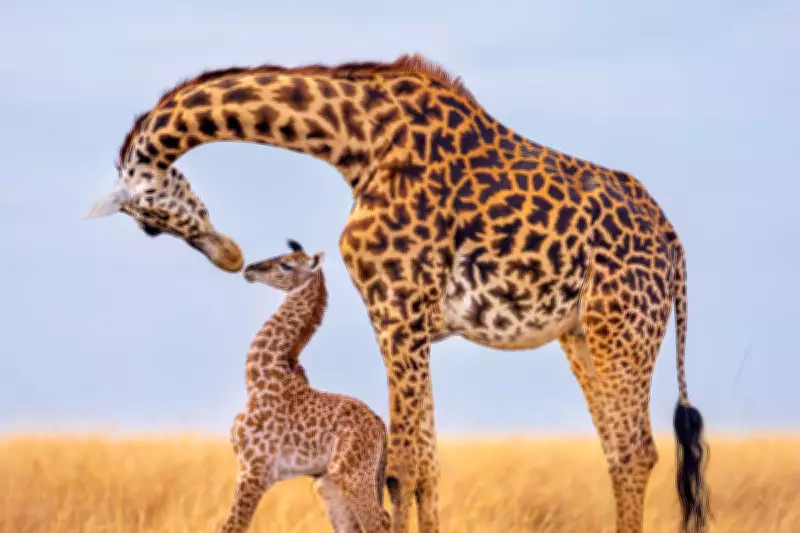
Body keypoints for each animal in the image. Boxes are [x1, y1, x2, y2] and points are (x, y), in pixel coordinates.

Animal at [220, 239, 390, 533]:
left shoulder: (253, 470)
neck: (258, 377)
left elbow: (232, 526)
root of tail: (380, 425)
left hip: (351, 475)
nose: (249, 269)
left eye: (286, 264)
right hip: (330, 483)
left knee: (381, 521)